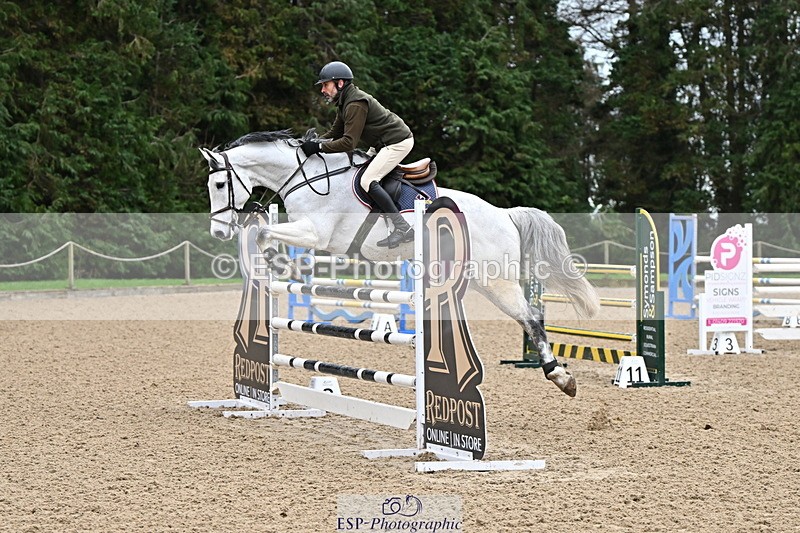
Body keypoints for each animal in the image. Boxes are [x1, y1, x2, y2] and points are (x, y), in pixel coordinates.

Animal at [199, 130, 600, 397]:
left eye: (219, 184)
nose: (218, 231)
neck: (308, 178)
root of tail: (505, 214)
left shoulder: (316, 233)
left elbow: (266, 235)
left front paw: (282, 263)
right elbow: (267, 234)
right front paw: (286, 266)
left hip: (495, 279)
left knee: (531, 319)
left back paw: (561, 377)